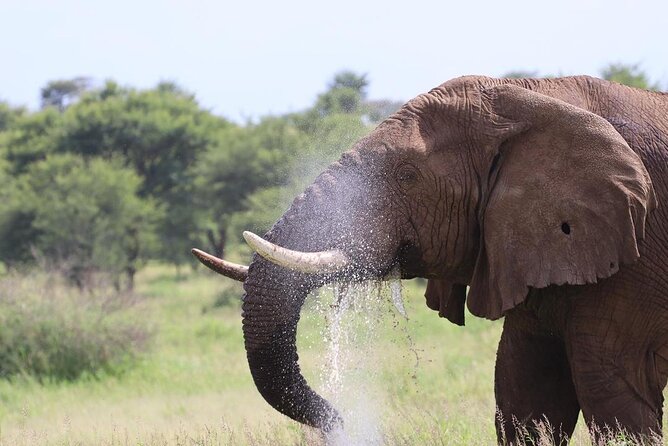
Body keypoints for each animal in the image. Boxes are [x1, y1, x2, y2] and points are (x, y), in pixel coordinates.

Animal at [193, 75, 668, 444]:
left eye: (407, 176)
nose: (340, 422)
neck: (535, 94)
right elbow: (526, 392)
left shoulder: (638, 249)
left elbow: (610, 389)